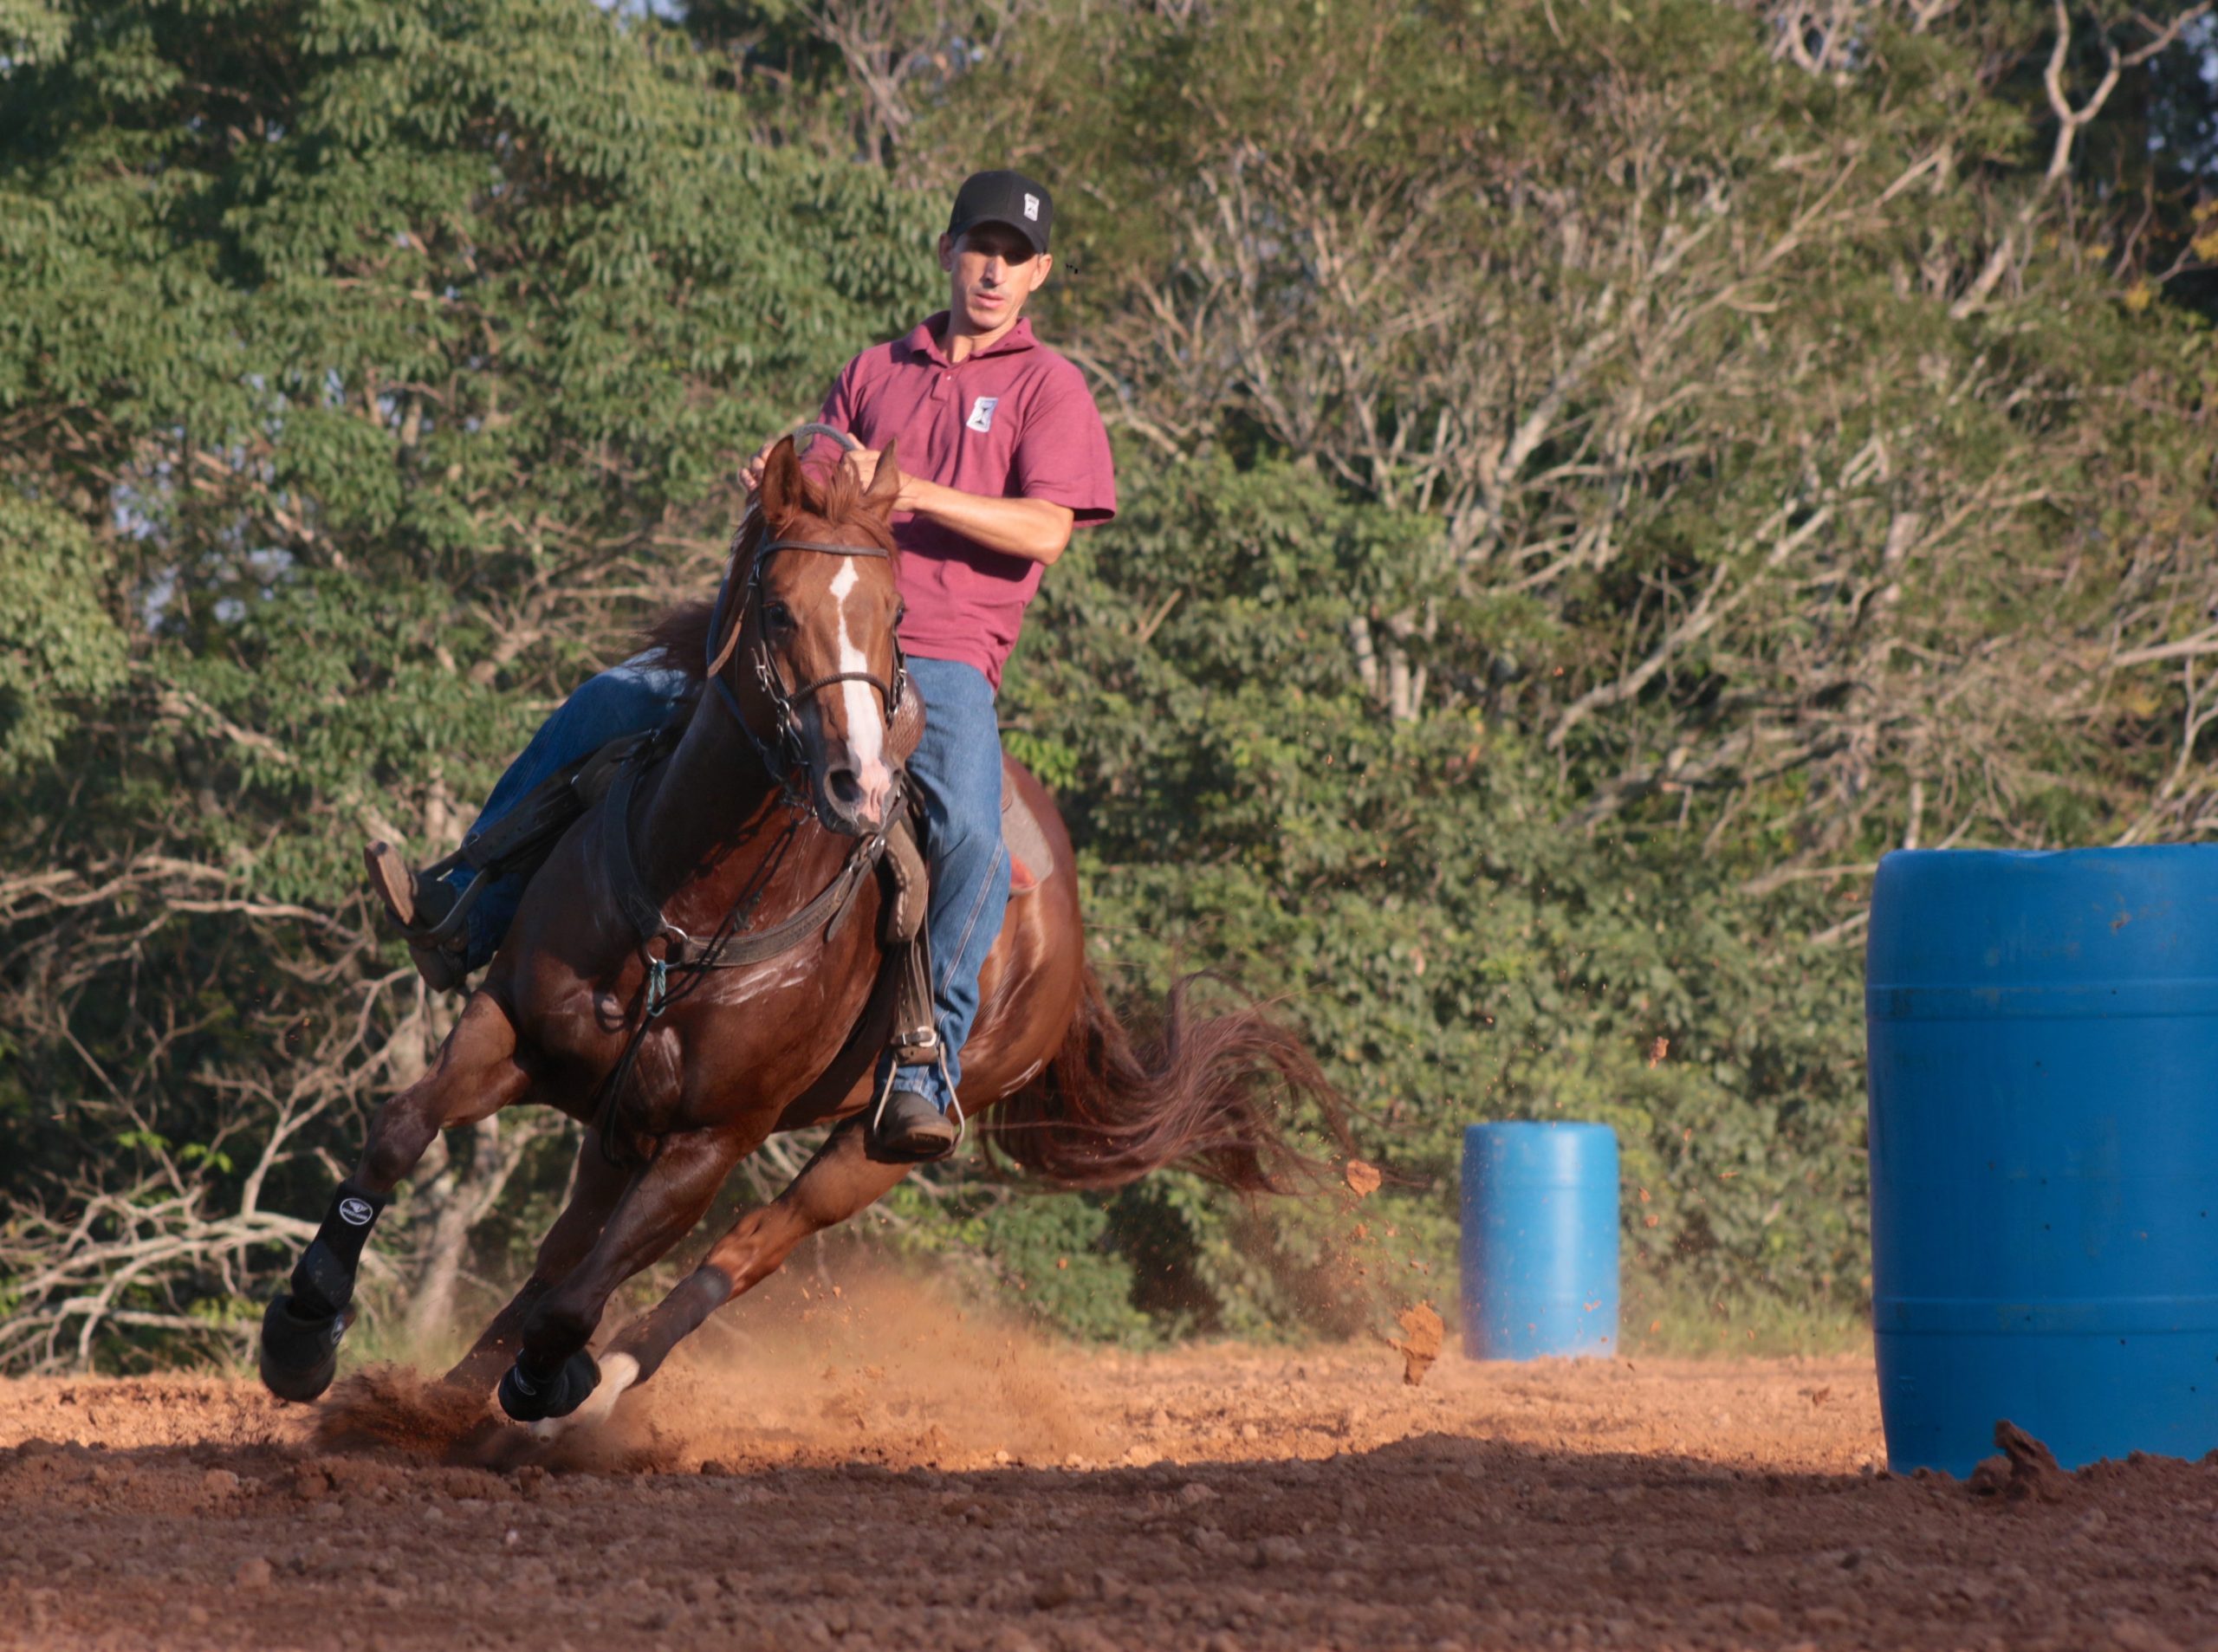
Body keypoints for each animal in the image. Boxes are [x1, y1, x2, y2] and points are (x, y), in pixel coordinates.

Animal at [254, 432, 1339, 1428]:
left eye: (894, 614)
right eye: (778, 609)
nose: (855, 782)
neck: (692, 907)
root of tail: (1065, 931)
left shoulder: (711, 1139)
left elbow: (582, 1294)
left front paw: (551, 1376)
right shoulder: (515, 1028)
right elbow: (402, 1132)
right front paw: (303, 1330)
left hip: (871, 1148)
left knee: (739, 1250)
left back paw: (593, 1384)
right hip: (616, 1123)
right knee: (566, 1245)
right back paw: (447, 1396)